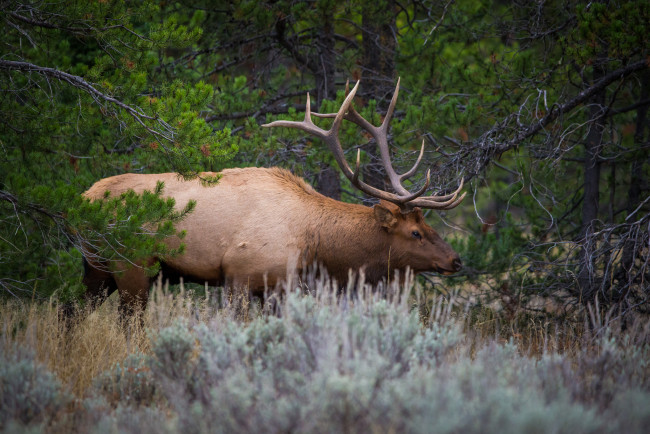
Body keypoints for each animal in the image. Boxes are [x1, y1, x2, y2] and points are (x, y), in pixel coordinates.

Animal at [82, 79, 466, 314]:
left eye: (428, 226)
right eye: (415, 232)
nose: (456, 260)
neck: (315, 245)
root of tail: (86, 197)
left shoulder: (282, 288)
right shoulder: (239, 276)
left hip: (96, 267)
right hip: (131, 266)